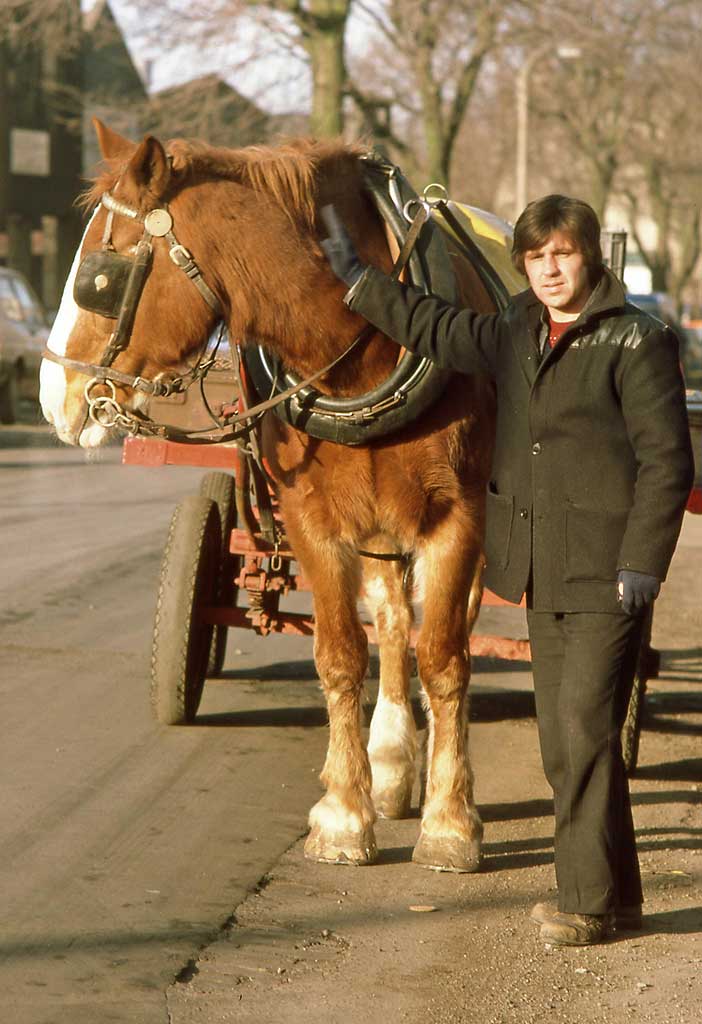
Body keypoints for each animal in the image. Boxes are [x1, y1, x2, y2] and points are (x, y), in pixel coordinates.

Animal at [39, 119, 501, 872]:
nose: (54, 398)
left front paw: (452, 821)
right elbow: (342, 655)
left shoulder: (458, 518)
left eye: (99, 277)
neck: (364, 349)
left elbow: (445, 658)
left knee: (440, 627)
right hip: (376, 529)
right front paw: (345, 813)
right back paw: (392, 761)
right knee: (392, 620)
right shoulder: (316, 522)